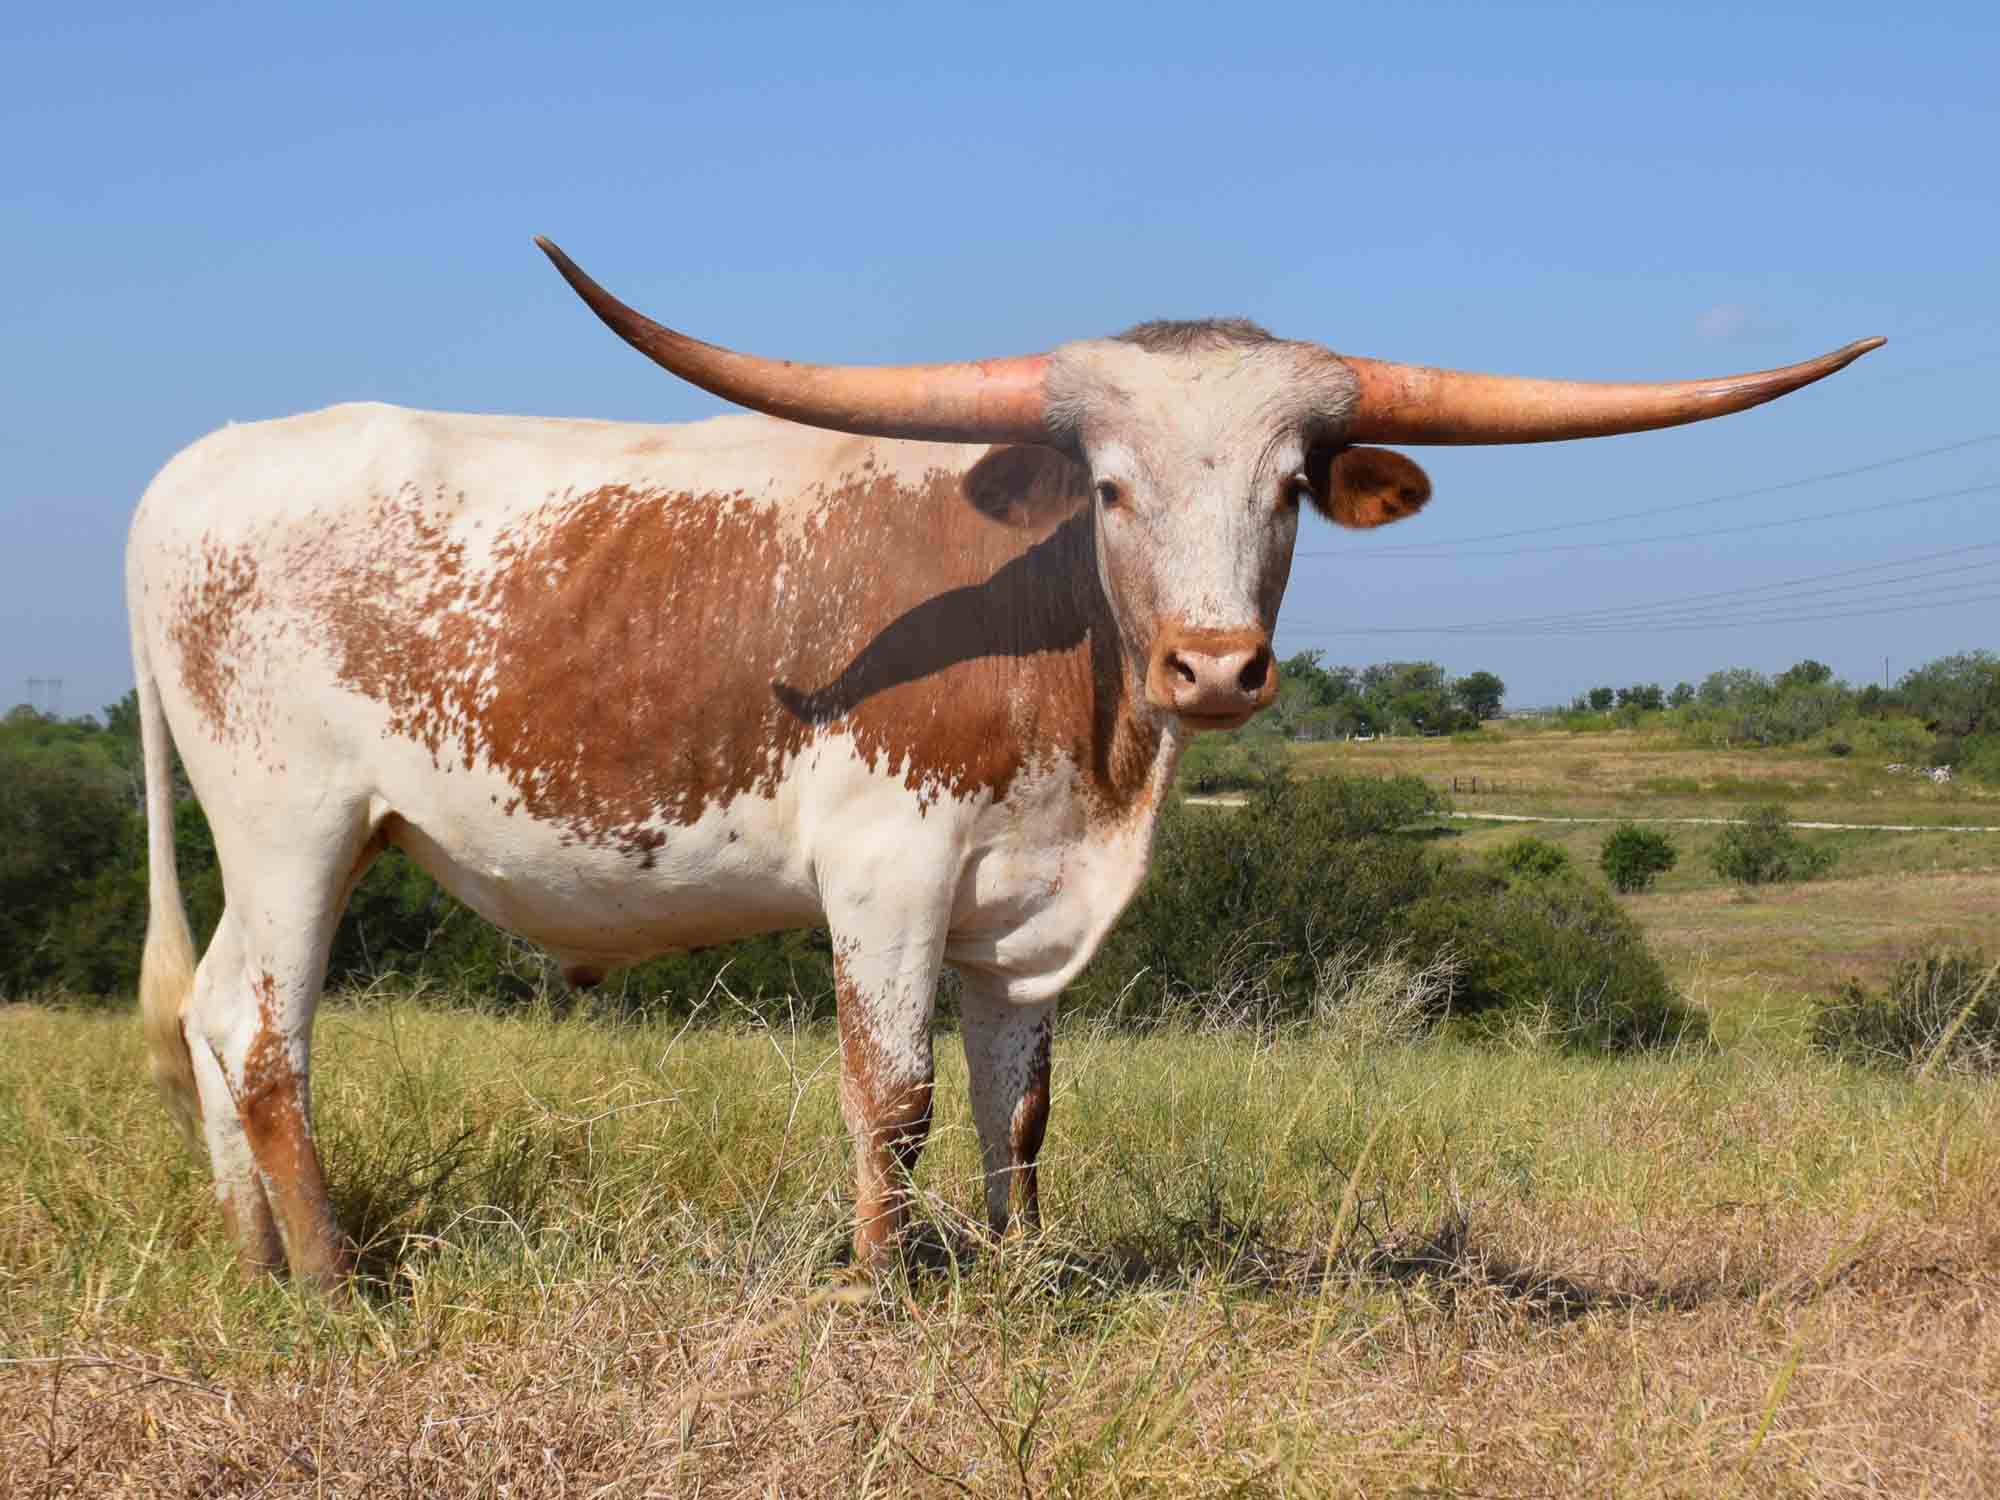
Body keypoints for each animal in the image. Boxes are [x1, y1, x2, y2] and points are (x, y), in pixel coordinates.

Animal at [127, 238, 1880, 1288]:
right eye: (1108, 486)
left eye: (1292, 487)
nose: (1214, 667)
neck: (1085, 716)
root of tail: (188, 475)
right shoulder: (888, 874)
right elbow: (893, 1092)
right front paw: (887, 1288)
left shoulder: (1025, 906)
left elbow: (1017, 1105)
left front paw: (1020, 1277)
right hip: (293, 822)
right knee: (268, 1036)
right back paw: (339, 1282)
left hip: (302, 839)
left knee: (210, 1015)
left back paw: (253, 1263)